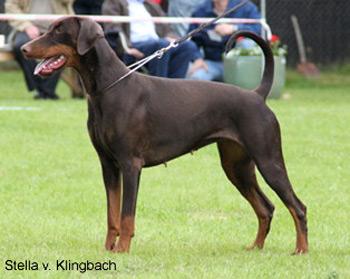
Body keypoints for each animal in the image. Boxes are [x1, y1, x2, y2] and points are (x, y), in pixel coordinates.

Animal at [20, 16, 308, 255]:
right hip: (236, 166)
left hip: (268, 159)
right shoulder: (108, 165)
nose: (24, 49)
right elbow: (112, 215)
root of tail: (257, 94)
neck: (108, 88)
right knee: (266, 207)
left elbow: (126, 215)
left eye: (59, 31)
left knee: (298, 206)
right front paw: (108, 250)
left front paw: (122, 251)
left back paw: (301, 250)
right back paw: (255, 247)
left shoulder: (130, 165)